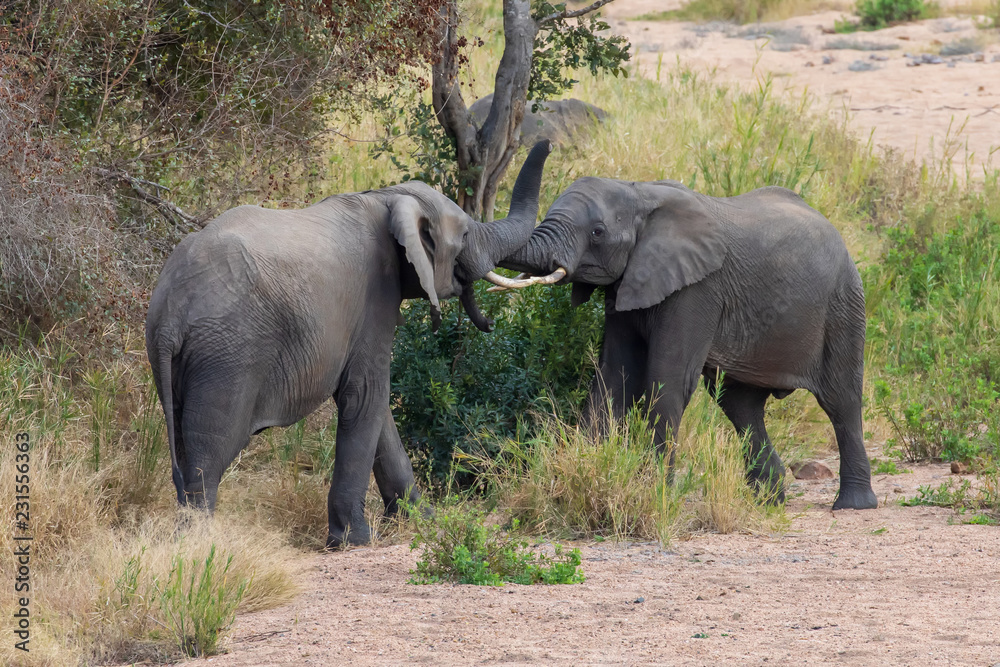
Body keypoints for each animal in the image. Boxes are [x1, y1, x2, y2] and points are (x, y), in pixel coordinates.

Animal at [146, 141, 553, 548]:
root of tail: (170, 314)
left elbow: (378, 410)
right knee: (209, 454)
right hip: (228, 354)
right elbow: (366, 394)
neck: (388, 197)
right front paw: (354, 541)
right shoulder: (376, 295)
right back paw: (197, 544)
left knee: (184, 446)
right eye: (466, 235)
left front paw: (422, 523)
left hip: (178, 356)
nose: (493, 323)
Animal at [495, 177, 878, 510]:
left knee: (841, 400)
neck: (639, 193)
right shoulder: (627, 282)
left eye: (597, 232)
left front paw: (654, 496)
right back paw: (769, 503)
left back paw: (852, 505)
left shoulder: (698, 288)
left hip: (843, 303)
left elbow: (667, 380)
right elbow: (614, 378)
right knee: (740, 405)